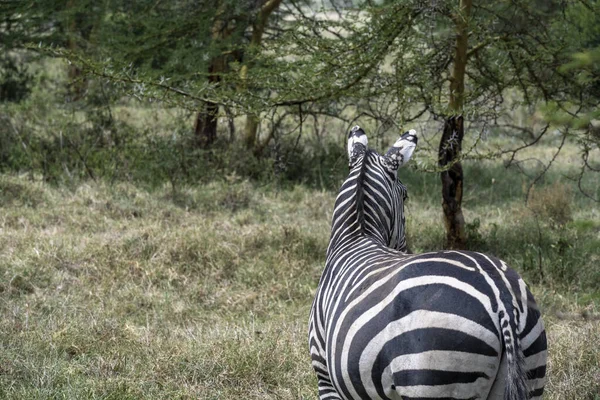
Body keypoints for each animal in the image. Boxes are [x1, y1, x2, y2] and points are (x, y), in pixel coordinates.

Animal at [310, 126, 548, 398]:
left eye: (405, 196)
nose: (405, 249)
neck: (356, 236)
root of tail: (500, 297)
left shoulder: (325, 375)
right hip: (529, 367)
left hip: (431, 372)